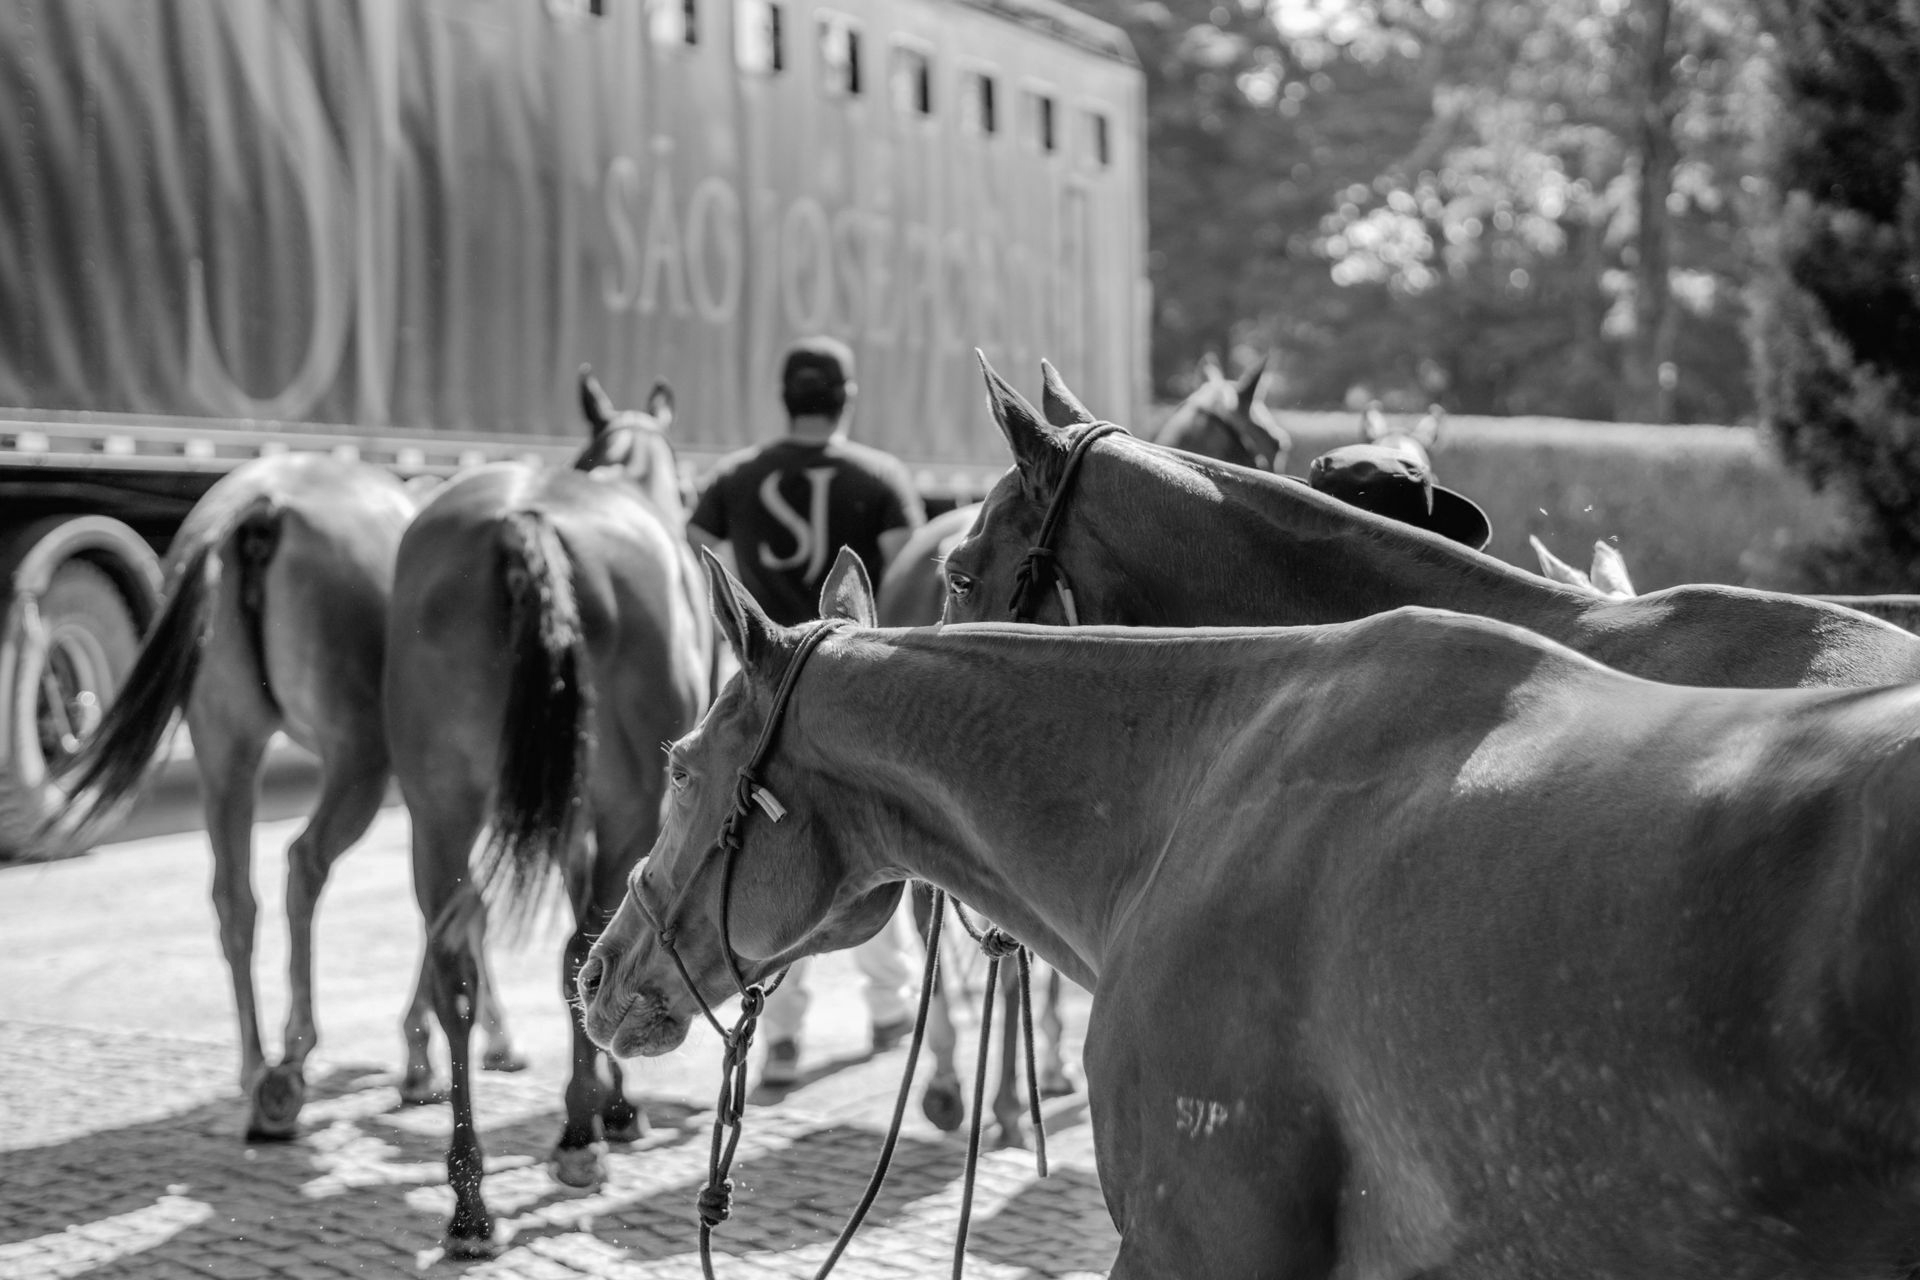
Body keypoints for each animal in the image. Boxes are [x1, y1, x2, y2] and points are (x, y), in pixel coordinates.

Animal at [49, 454, 524, 1140]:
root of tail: (262, 506)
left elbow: (455, 904)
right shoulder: (452, 788)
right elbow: (459, 905)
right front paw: (445, 1049)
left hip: (225, 742)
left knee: (233, 895)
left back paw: (255, 1067)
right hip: (359, 758)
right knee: (305, 863)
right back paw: (293, 1055)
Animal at [383, 370, 710, 1257]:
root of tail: (522, 523)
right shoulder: (621, 821)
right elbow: (610, 951)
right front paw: (612, 1109)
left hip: (438, 809)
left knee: (457, 963)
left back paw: (469, 1201)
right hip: (625, 805)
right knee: (576, 950)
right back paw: (574, 1138)